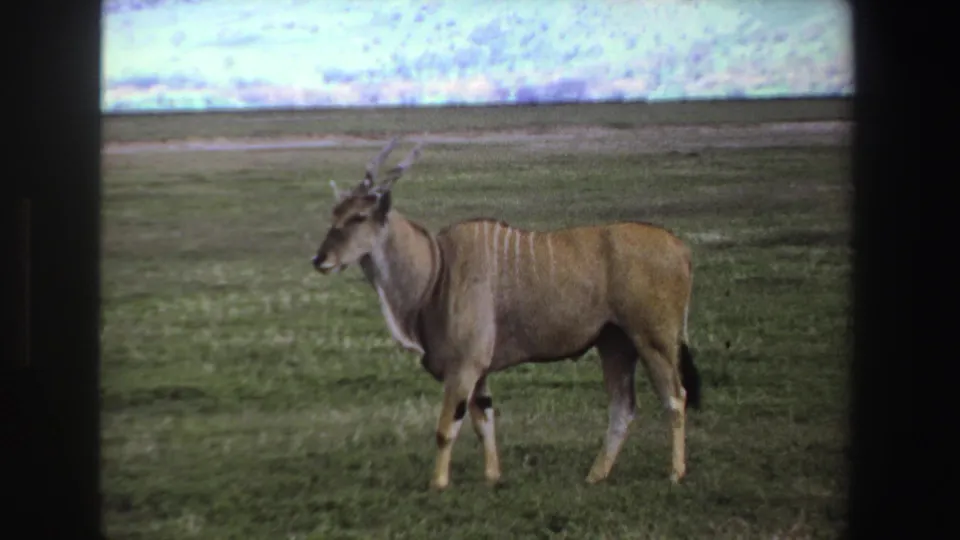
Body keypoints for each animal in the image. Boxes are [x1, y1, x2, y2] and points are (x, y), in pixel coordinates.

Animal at [311, 139, 702, 490]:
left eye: (359, 217)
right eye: (334, 215)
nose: (320, 260)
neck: (437, 270)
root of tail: (681, 249)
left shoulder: (463, 368)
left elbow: (445, 428)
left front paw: (438, 483)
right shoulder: (478, 372)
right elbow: (484, 422)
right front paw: (492, 477)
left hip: (653, 340)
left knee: (675, 397)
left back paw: (675, 473)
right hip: (615, 344)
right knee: (623, 407)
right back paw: (595, 475)